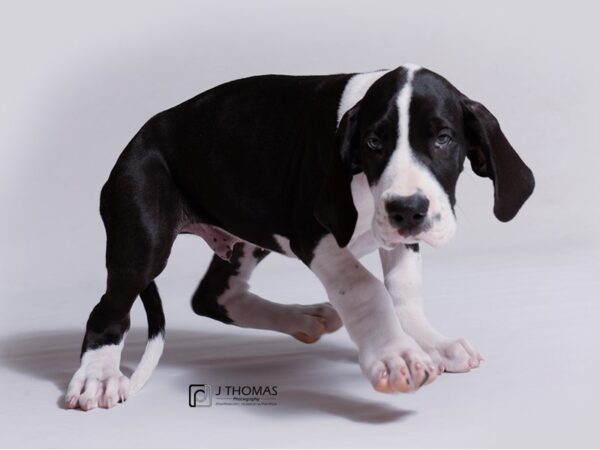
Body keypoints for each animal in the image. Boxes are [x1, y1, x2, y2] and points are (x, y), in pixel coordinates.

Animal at [64, 64, 536, 412]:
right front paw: (394, 355)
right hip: (142, 237)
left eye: (443, 139)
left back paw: (305, 318)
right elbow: (365, 288)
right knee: (109, 309)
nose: (407, 209)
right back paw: (98, 377)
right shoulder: (315, 233)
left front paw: (429, 342)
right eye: (373, 142)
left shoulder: (400, 235)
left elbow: (403, 288)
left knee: (212, 296)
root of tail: (135, 142)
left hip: (247, 232)